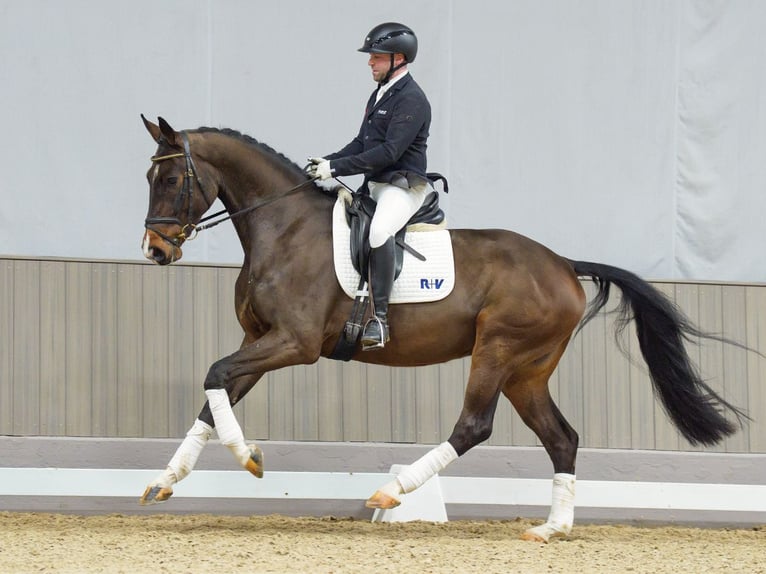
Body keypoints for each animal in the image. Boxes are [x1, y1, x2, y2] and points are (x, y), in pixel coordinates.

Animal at [140, 117, 752, 544]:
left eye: (170, 178)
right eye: (151, 176)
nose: (155, 251)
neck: (283, 228)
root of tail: (561, 263)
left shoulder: (295, 343)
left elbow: (214, 374)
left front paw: (249, 457)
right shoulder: (258, 340)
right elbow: (215, 392)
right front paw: (167, 480)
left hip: (498, 350)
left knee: (474, 426)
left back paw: (392, 491)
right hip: (526, 372)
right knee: (562, 438)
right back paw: (551, 529)